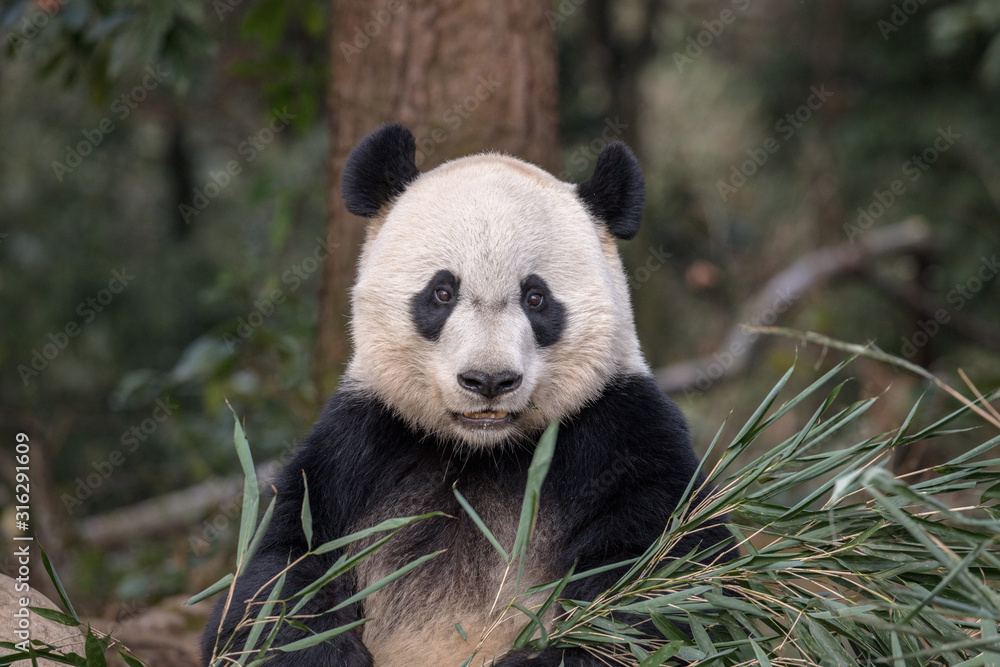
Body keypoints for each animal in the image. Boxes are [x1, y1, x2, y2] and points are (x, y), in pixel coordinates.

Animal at [202, 124, 732, 667]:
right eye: (442, 292)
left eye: (536, 297)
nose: (489, 380)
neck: (483, 450)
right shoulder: (361, 443)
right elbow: (276, 572)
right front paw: (317, 646)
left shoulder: (618, 429)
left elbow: (669, 585)